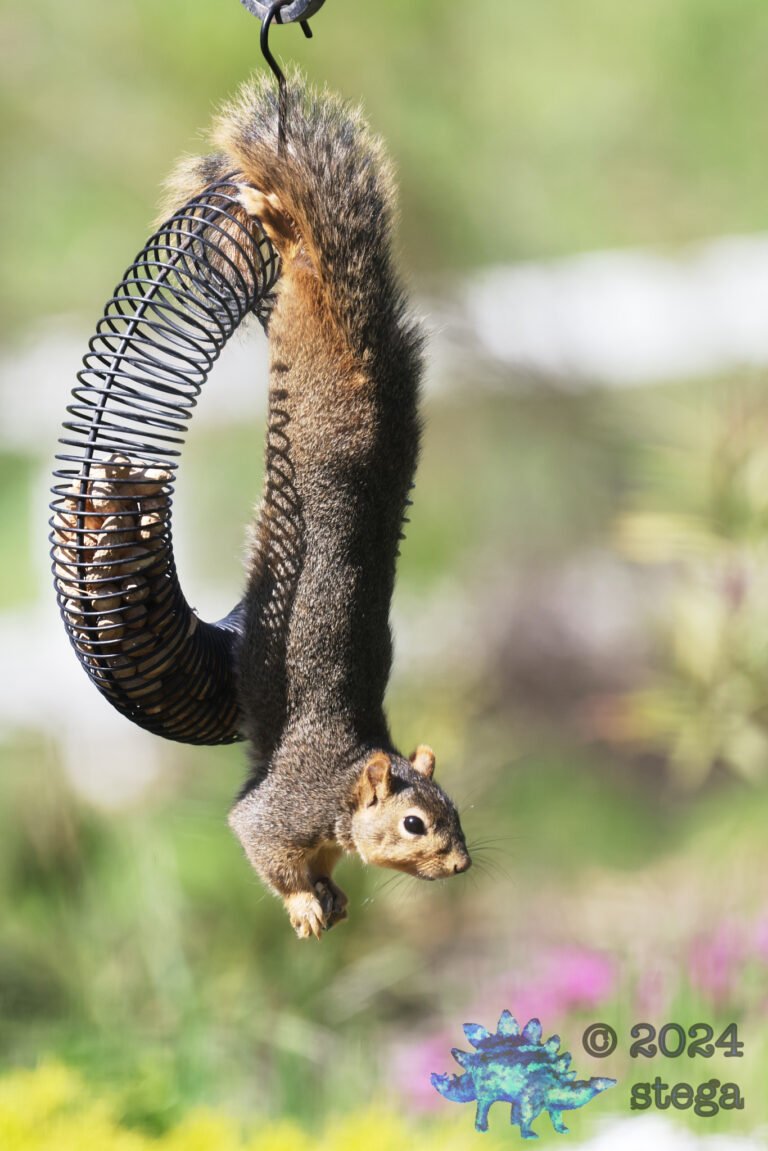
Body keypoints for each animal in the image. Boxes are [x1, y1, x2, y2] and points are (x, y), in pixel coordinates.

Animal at [163, 71, 471, 939]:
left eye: (456, 810)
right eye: (414, 822)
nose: (462, 864)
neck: (340, 787)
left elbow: (322, 870)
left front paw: (327, 896)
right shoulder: (277, 810)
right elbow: (257, 842)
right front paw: (303, 904)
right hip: (307, 359)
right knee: (305, 260)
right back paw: (279, 220)